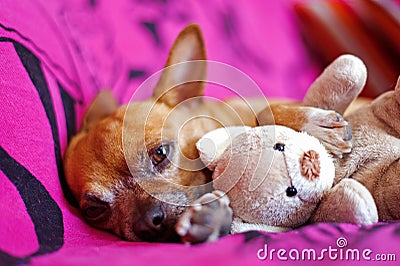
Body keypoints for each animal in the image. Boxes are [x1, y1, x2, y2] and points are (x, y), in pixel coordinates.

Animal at [64, 24, 352, 243]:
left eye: (160, 154)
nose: (147, 222)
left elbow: (265, 112)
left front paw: (313, 124)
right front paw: (210, 219)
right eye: (94, 210)